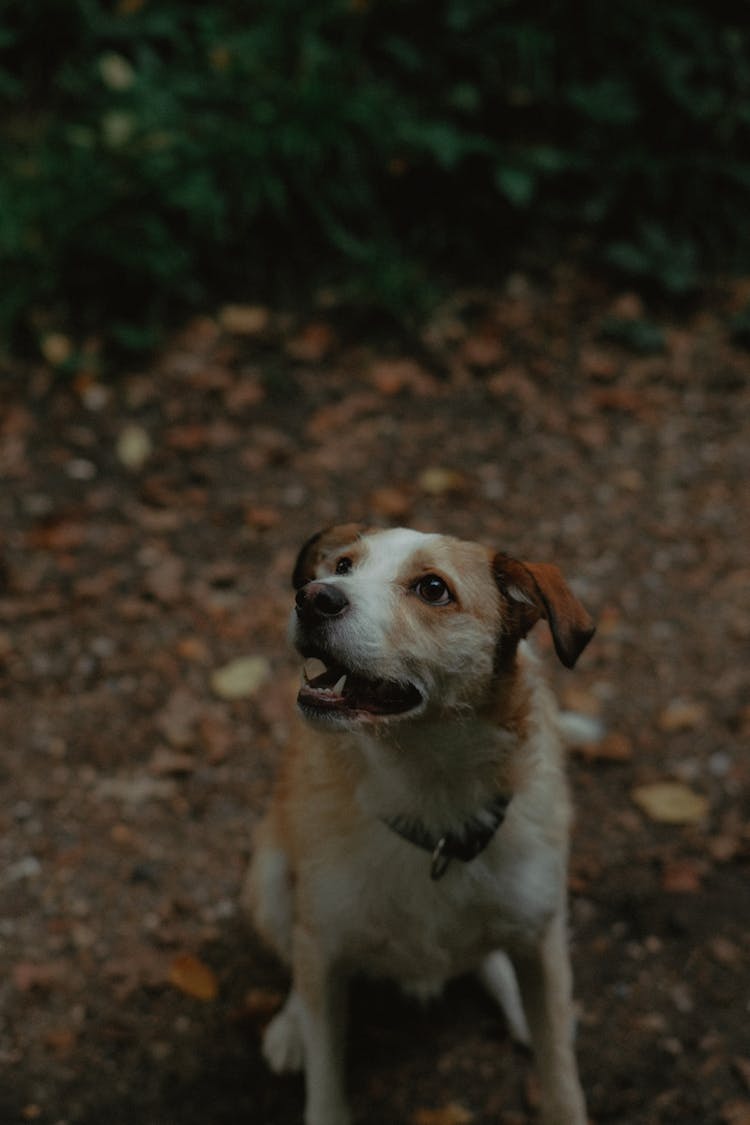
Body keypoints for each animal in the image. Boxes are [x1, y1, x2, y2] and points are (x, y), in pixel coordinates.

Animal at [244, 526, 593, 1125]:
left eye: (433, 589)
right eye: (343, 565)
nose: (312, 597)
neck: (431, 800)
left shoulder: (543, 935)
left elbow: (562, 1081)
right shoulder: (325, 947)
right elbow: (325, 1071)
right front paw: (305, 1040)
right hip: (269, 879)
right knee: (295, 957)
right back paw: (291, 1026)